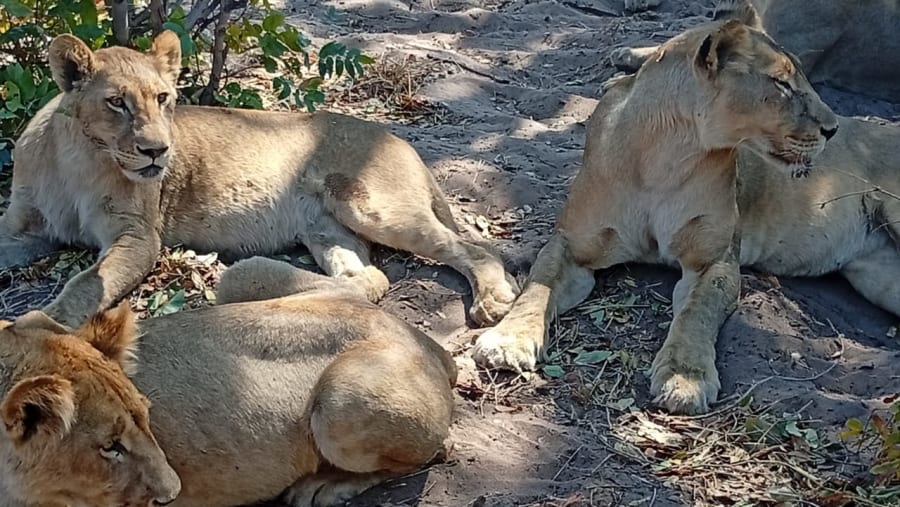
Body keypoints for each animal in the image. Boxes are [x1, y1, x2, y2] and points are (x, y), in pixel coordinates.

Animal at [0, 30, 518, 329]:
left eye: (163, 98)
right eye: (117, 103)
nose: (158, 150)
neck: (79, 158)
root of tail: (397, 137)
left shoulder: (138, 237)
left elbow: (88, 283)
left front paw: (41, 323)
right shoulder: (21, 228)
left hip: (372, 206)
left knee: (476, 250)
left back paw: (493, 300)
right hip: (325, 229)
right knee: (369, 279)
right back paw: (270, 287)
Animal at [0, 257, 457, 507]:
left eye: (147, 421)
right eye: (109, 446)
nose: (171, 494)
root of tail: (427, 342)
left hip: (339, 406)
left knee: (430, 454)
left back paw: (322, 486)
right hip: (240, 274)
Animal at [472, 18, 900, 415]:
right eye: (781, 84)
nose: (833, 128)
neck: (667, 156)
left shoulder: (714, 261)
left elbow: (696, 315)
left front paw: (685, 380)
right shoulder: (572, 244)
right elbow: (537, 288)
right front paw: (507, 341)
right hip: (880, 277)